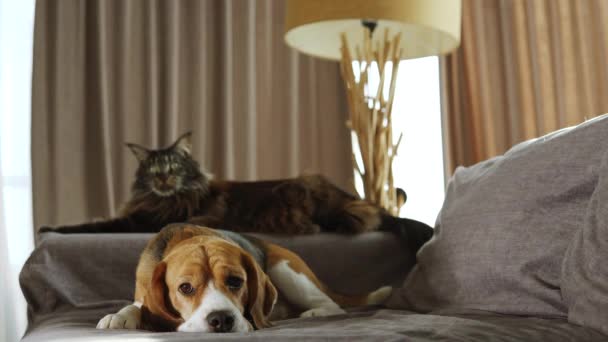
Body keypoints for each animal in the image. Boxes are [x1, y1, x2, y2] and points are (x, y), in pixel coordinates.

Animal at [41, 134, 432, 251]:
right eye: (153, 171)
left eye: (174, 167)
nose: (164, 180)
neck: (165, 197)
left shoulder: (139, 222)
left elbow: (88, 224)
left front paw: (47, 228)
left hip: (306, 192)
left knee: (361, 220)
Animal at [95, 223, 390, 332]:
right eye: (185, 288)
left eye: (236, 281)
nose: (221, 320)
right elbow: (136, 305)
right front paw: (119, 316)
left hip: (284, 269)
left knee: (333, 305)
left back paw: (312, 313)